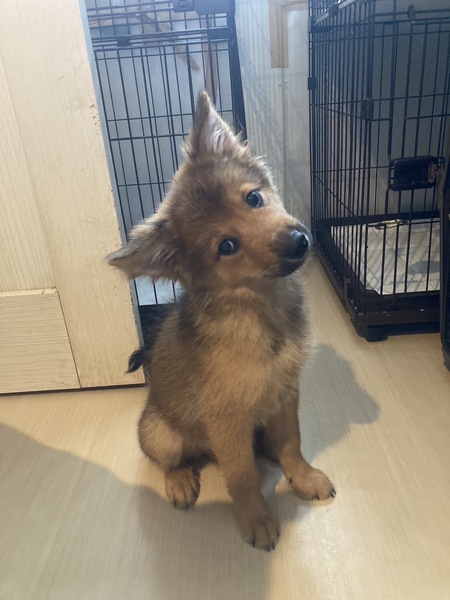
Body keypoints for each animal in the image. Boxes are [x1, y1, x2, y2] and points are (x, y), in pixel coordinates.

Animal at [107, 92, 335, 551]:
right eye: (226, 246)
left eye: (253, 199)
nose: (298, 242)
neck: (260, 308)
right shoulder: (226, 419)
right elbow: (241, 474)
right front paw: (256, 519)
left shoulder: (286, 394)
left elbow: (292, 441)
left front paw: (302, 477)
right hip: (160, 432)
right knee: (166, 458)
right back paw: (179, 480)